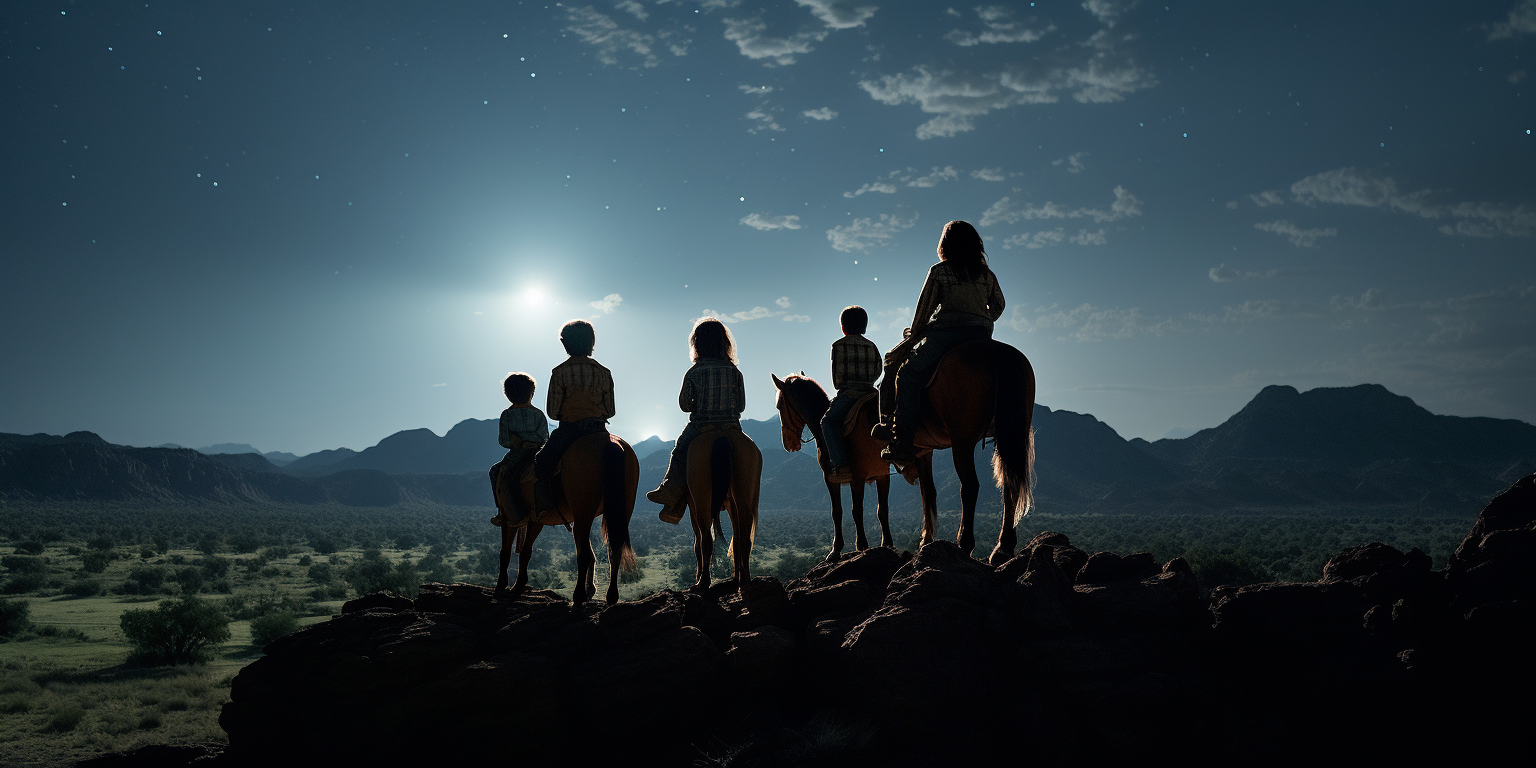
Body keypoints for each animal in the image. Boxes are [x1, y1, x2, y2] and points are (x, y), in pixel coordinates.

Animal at [491, 433, 635, 605]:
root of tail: (611, 443)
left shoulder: (510, 517)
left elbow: (505, 552)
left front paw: (503, 585)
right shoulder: (537, 519)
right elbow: (526, 551)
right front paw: (518, 585)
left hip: (582, 513)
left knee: (585, 554)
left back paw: (579, 595)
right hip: (617, 512)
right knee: (613, 551)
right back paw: (609, 595)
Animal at [678, 427, 761, 592]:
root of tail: (723, 436)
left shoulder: (692, 506)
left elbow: (697, 543)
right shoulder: (731, 504)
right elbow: (736, 539)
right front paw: (736, 576)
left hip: (702, 500)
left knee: (706, 540)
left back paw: (702, 582)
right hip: (744, 490)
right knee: (745, 537)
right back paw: (744, 579)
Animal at [774, 373, 897, 562]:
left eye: (779, 406)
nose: (788, 443)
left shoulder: (840, 478)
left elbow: (844, 511)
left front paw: (850, 546)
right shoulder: (882, 475)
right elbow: (882, 509)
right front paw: (887, 543)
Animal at [897, 340, 1038, 565]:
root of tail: (997, 350)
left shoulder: (922, 450)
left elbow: (927, 492)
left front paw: (926, 539)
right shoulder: (926, 450)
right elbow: (929, 491)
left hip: (962, 441)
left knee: (970, 486)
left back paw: (965, 543)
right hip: (1011, 433)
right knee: (1010, 484)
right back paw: (1003, 548)